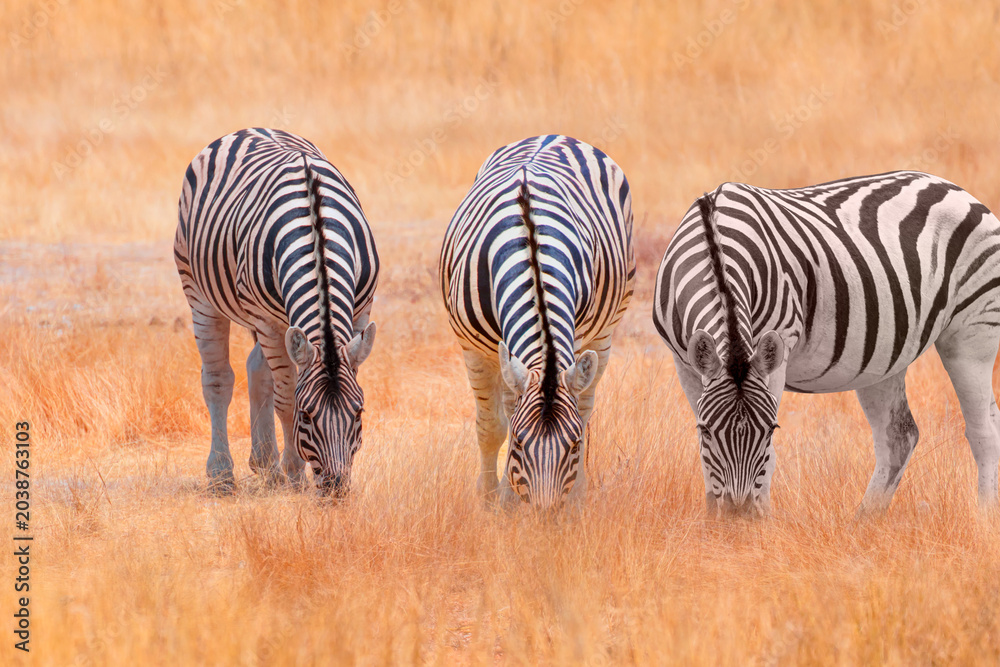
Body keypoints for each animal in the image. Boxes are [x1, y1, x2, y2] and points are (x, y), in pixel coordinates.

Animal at [174, 128, 379, 496]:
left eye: (359, 413)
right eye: (307, 416)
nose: (335, 488)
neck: (316, 234)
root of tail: (249, 130)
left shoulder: (361, 309)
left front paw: (283, 469)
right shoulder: (268, 322)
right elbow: (285, 399)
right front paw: (295, 473)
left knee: (257, 367)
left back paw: (265, 463)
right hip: (199, 293)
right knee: (218, 379)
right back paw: (222, 473)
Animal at [439, 135, 635, 510]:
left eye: (573, 446)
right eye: (518, 442)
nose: (547, 515)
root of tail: (554, 136)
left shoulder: (576, 339)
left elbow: (578, 416)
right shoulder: (474, 349)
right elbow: (491, 426)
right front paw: (493, 500)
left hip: (604, 334)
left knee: (585, 407)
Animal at [653, 171, 1000, 517]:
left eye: (772, 429)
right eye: (706, 429)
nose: (739, 514)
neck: (715, 242)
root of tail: (951, 186)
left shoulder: (778, 347)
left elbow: (769, 459)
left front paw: (760, 523)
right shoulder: (684, 363)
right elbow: (705, 456)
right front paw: (713, 521)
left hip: (973, 334)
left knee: (984, 432)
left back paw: (983, 518)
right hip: (886, 356)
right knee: (900, 437)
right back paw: (864, 522)